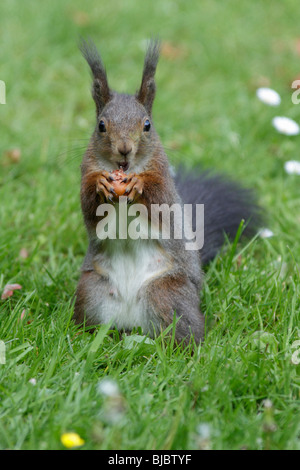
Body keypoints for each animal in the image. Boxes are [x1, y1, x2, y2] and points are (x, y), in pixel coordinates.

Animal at [72, 38, 260, 344]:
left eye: (147, 124)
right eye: (101, 125)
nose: (124, 149)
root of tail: (130, 322)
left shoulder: (164, 181)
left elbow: (160, 201)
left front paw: (139, 185)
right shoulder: (86, 171)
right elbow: (90, 209)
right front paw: (100, 184)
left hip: (167, 294)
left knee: (186, 331)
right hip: (92, 290)